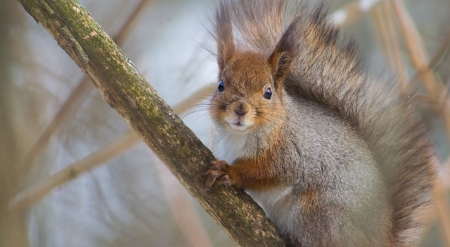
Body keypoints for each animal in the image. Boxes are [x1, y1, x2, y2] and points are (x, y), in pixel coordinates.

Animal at [204, 0, 436, 246]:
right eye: (220, 85)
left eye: (268, 92)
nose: (240, 109)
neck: (240, 135)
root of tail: (381, 239)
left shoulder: (292, 155)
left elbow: (263, 173)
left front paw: (230, 172)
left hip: (318, 211)